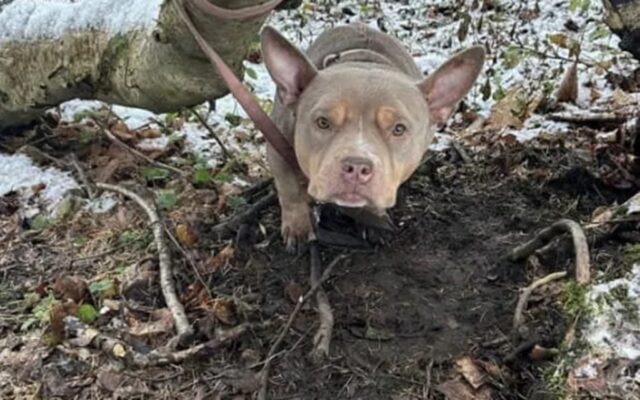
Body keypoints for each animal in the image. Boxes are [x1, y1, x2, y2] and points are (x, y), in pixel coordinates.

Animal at [260, 23, 484, 248]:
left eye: (399, 129)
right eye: (323, 122)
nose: (357, 167)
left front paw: (373, 217)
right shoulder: (277, 145)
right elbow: (290, 189)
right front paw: (298, 227)